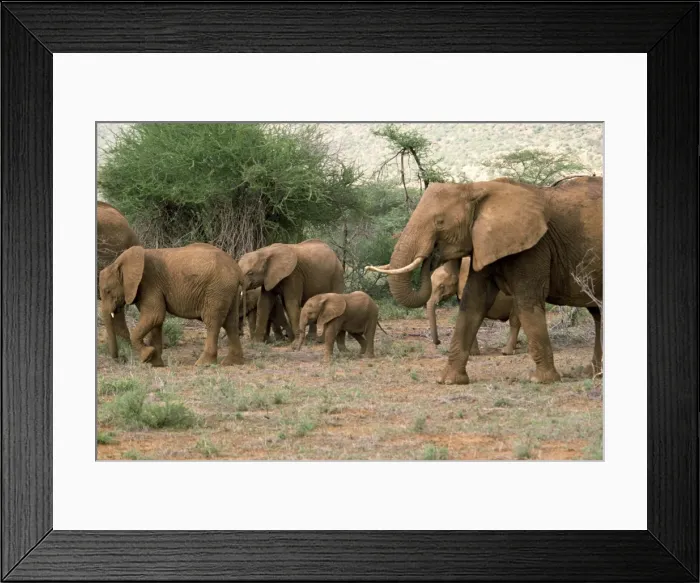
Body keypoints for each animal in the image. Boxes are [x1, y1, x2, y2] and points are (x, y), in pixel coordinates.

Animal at [98, 243, 245, 367]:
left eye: (108, 291)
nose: (120, 359)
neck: (120, 262)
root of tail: (238, 270)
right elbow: (156, 321)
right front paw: (155, 364)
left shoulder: (149, 284)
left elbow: (154, 316)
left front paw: (147, 357)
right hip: (229, 290)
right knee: (230, 323)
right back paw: (231, 362)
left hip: (217, 289)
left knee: (212, 322)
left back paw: (203, 363)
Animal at [366, 176, 602, 385]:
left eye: (440, 222)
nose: (430, 256)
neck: (476, 188)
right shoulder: (484, 242)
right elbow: (473, 302)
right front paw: (449, 381)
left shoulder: (533, 247)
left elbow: (528, 301)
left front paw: (542, 380)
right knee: (597, 314)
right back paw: (594, 373)